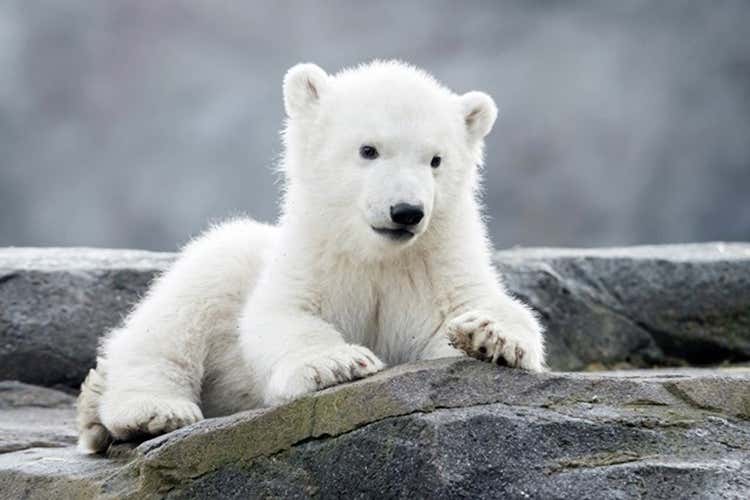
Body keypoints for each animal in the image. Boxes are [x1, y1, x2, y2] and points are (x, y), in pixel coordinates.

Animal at [76, 60, 546, 454]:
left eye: (436, 160)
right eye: (368, 149)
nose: (407, 211)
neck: (376, 254)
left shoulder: (434, 264)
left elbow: (477, 312)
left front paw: (488, 336)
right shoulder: (314, 257)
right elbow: (284, 314)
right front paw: (338, 363)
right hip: (226, 262)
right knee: (173, 320)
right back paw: (150, 412)